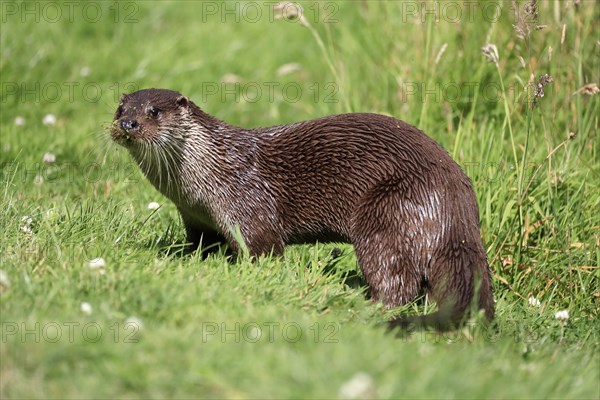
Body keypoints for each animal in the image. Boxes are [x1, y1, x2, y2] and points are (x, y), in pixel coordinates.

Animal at [110, 87, 494, 328]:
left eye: (153, 111)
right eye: (120, 109)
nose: (127, 124)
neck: (210, 173)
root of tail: (454, 202)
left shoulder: (246, 205)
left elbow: (264, 249)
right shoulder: (195, 218)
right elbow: (201, 245)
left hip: (386, 212)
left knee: (396, 281)